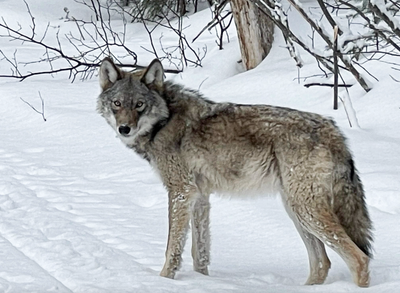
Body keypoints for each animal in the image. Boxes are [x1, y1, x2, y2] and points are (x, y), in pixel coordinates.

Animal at [97, 57, 372, 286]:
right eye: (117, 104)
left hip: (305, 210)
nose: (124, 129)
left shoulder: (180, 193)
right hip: (296, 210)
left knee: (359, 259)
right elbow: (199, 252)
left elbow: (172, 249)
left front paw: (163, 281)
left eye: (139, 105)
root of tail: (333, 130)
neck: (164, 120)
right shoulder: (200, 197)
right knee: (322, 263)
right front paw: (202, 281)